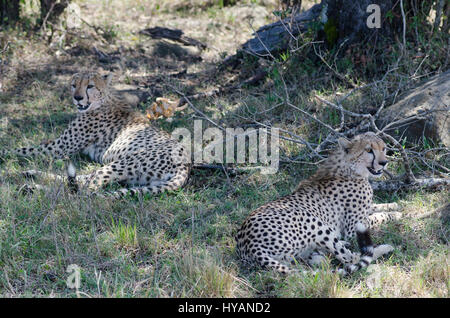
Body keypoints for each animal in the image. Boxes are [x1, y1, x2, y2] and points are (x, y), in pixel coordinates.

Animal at [0, 72, 190, 198]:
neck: (103, 100)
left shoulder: (58, 148)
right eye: (74, 85)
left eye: (90, 86)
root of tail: (186, 164)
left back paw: (33, 189)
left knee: (82, 191)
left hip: (122, 163)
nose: (77, 98)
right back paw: (31, 174)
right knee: (80, 180)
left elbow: (22, 149)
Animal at [236, 133, 400, 274]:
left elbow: (375, 206)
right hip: (313, 222)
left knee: (322, 260)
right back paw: (384, 248)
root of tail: (249, 245)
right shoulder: (352, 228)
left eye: (383, 148)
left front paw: (395, 205)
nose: (384, 163)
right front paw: (396, 214)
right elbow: (378, 216)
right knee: (351, 258)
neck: (350, 169)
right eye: (369, 150)